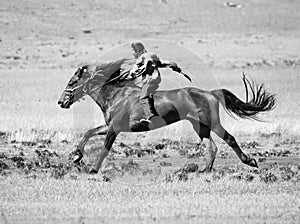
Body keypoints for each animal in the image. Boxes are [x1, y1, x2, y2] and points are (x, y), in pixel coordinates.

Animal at [57, 62, 276, 174]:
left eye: (72, 81)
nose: (61, 102)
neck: (115, 95)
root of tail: (211, 93)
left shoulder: (114, 129)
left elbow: (104, 149)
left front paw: (92, 169)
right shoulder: (109, 126)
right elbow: (89, 132)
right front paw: (76, 156)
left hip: (209, 123)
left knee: (225, 141)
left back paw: (243, 163)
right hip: (201, 126)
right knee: (216, 144)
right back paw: (209, 169)